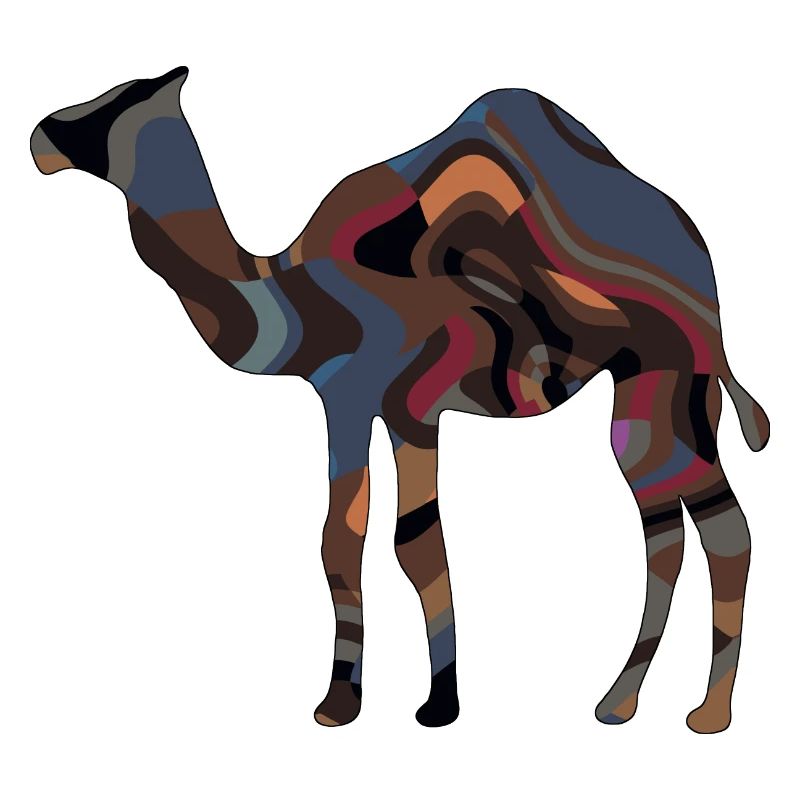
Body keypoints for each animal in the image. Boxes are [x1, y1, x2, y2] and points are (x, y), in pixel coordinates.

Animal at [30, 66, 769, 732]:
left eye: (112, 102)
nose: (38, 137)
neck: (289, 297)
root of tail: (699, 258)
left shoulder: (349, 393)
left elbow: (342, 540)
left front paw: (339, 704)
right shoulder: (410, 412)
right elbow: (418, 543)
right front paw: (440, 704)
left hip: (667, 368)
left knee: (714, 525)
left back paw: (707, 714)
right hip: (657, 385)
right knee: (670, 523)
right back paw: (621, 703)